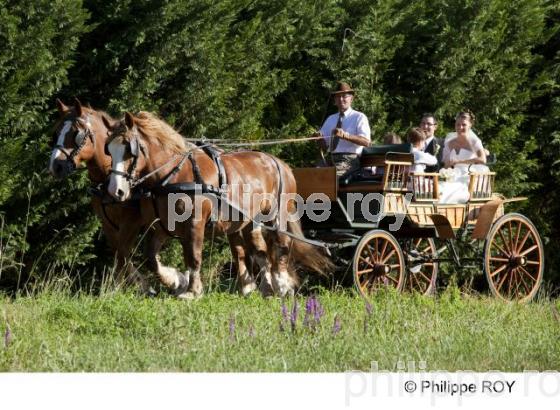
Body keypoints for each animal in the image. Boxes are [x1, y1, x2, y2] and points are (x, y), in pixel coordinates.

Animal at [103, 112, 330, 298]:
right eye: (109, 150)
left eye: (129, 149)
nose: (116, 191)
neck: (174, 174)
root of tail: (278, 162)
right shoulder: (162, 226)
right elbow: (151, 258)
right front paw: (177, 280)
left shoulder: (195, 223)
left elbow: (193, 256)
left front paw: (192, 291)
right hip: (249, 221)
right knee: (259, 250)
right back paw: (263, 289)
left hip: (278, 215)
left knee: (281, 244)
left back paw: (282, 286)